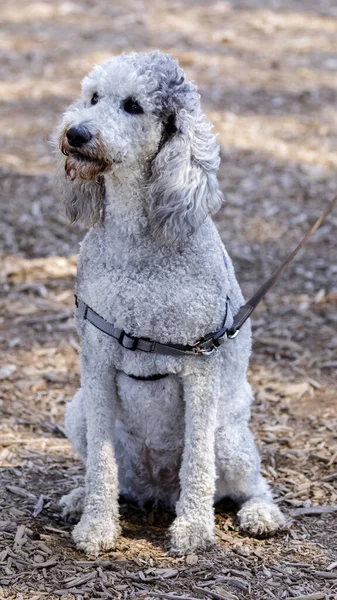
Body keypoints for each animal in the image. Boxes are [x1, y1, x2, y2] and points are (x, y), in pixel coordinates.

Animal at [55, 49, 284, 556]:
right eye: (93, 96)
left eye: (133, 106)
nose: (76, 133)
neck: (137, 244)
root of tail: (157, 490)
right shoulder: (96, 362)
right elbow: (101, 463)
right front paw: (97, 525)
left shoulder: (199, 367)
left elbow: (197, 461)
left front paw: (194, 530)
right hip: (77, 411)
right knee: (117, 477)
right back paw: (81, 498)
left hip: (230, 439)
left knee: (249, 483)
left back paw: (260, 514)